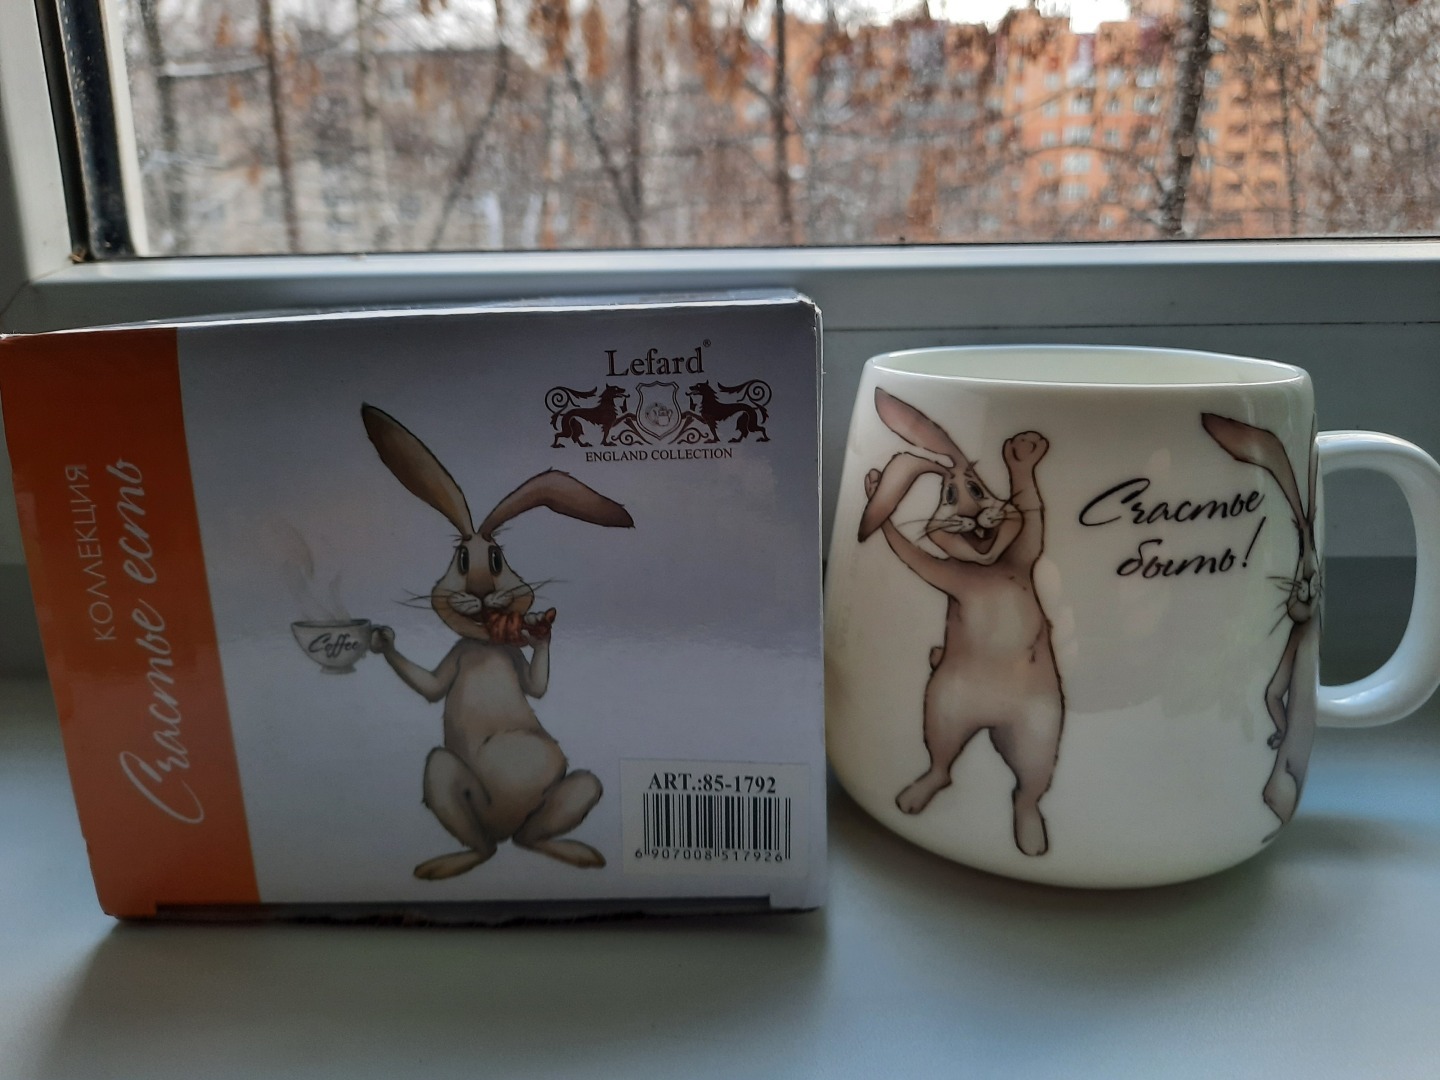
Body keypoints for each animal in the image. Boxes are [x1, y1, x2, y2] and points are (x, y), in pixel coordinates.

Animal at [361, 404, 634, 879]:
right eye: (461, 558)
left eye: (496, 558)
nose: (482, 590)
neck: (487, 643)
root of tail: (505, 831)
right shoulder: (460, 653)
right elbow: (432, 687)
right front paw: (382, 638)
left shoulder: (507, 650)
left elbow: (535, 687)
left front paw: (542, 629)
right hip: (444, 776)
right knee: (483, 844)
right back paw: (451, 863)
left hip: (576, 789)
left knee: (534, 833)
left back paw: (576, 853)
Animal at [858, 387, 1065, 857]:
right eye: (949, 496)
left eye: (975, 487)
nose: (971, 514)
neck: (986, 571)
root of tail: (990, 720)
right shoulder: (950, 577)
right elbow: (908, 552)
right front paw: (875, 489)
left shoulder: (1021, 554)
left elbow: (1030, 510)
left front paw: (1022, 453)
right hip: (943, 708)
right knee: (942, 761)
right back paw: (915, 795)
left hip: (1038, 731)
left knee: (1027, 787)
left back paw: (1030, 835)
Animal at [1202, 412, 1320, 829]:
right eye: (1298, 544)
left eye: (1312, 540)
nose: (1309, 580)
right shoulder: (1296, 637)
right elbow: (1272, 688)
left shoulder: (1298, 633)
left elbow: (1272, 689)